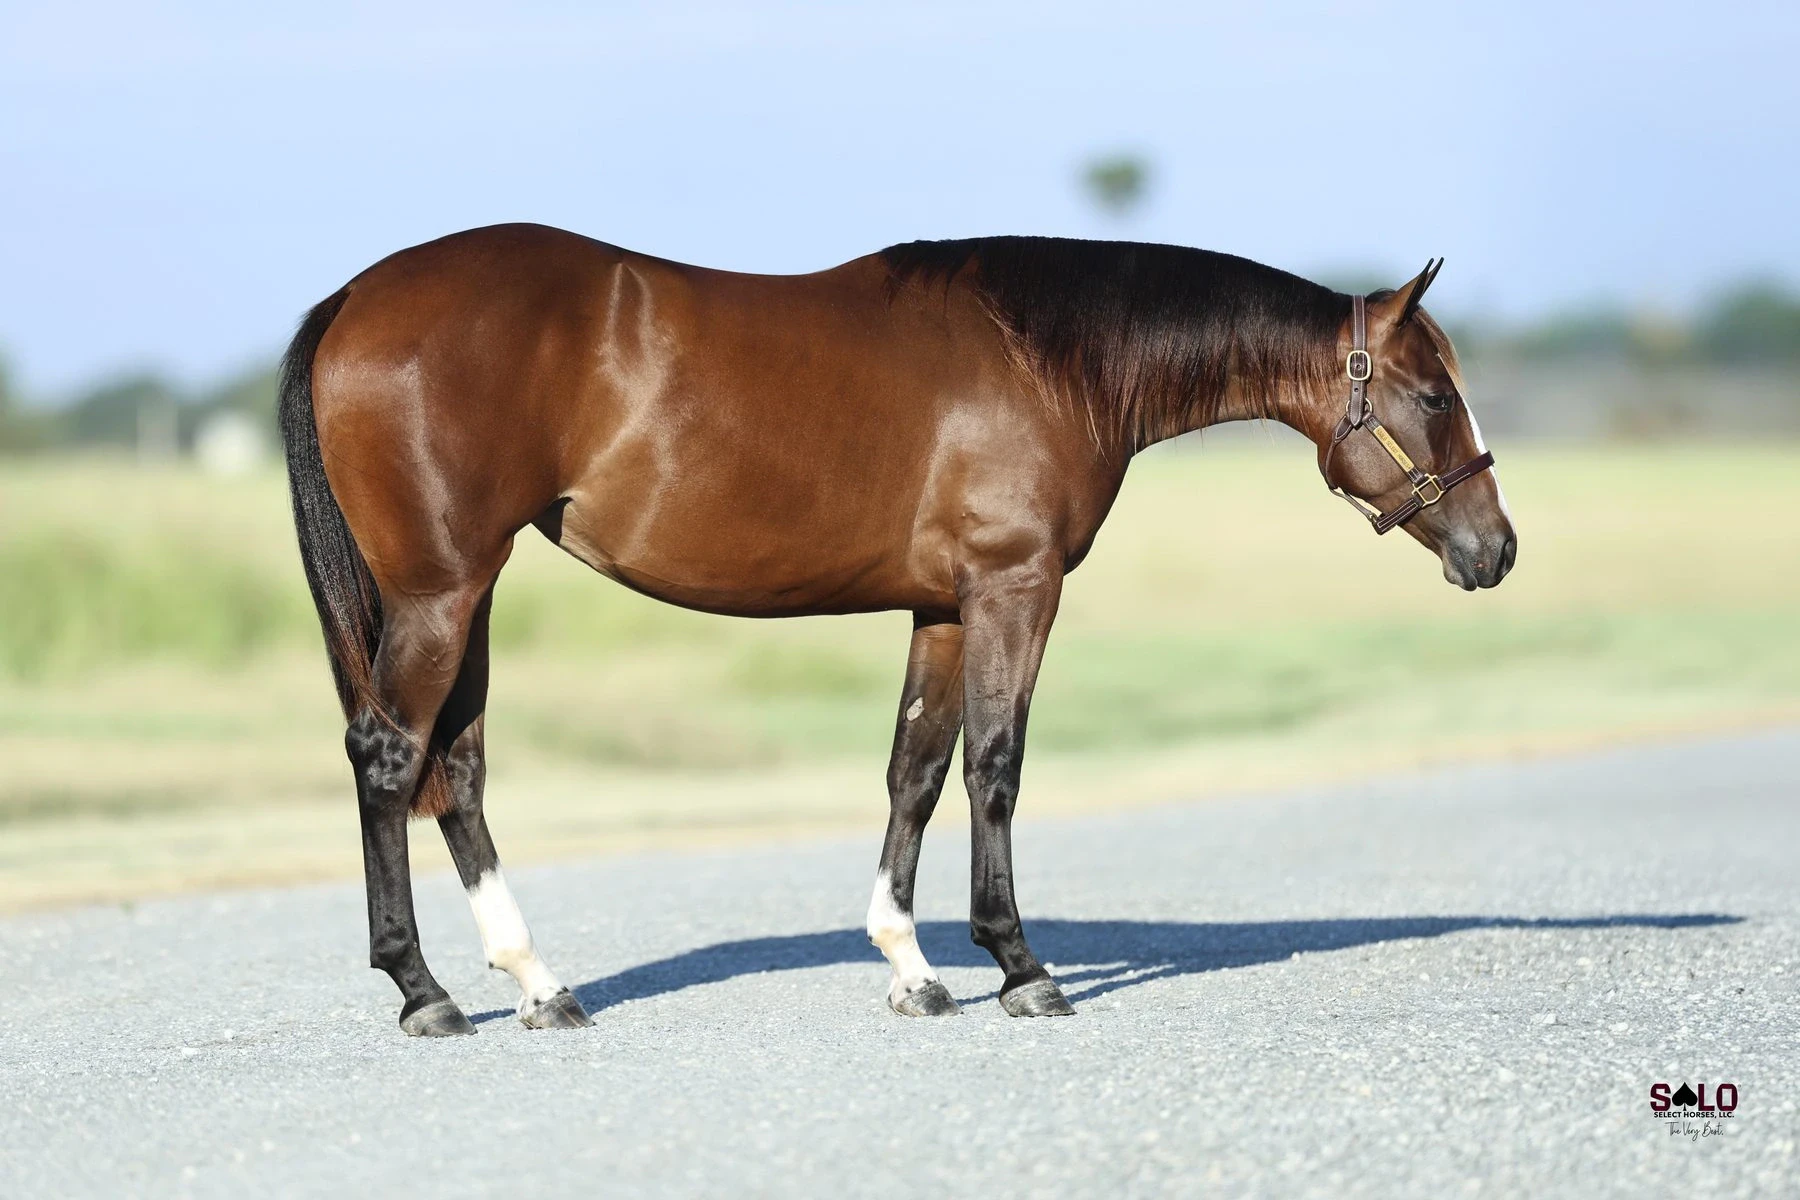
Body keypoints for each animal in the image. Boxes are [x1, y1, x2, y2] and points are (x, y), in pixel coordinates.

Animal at [277, 225, 1516, 1036]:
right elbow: (995, 767)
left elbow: (913, 771)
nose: (1496, 550)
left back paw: (537, 983)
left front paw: (911, 968)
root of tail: (350, 301)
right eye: (1435, 395)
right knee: (392, 757)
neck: (1041, 356)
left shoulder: (942, 609)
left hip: (466, 592)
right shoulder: (1014, 589)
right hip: (441, 592)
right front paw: (1018, 966)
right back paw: (426, 993)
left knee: (457, 771)